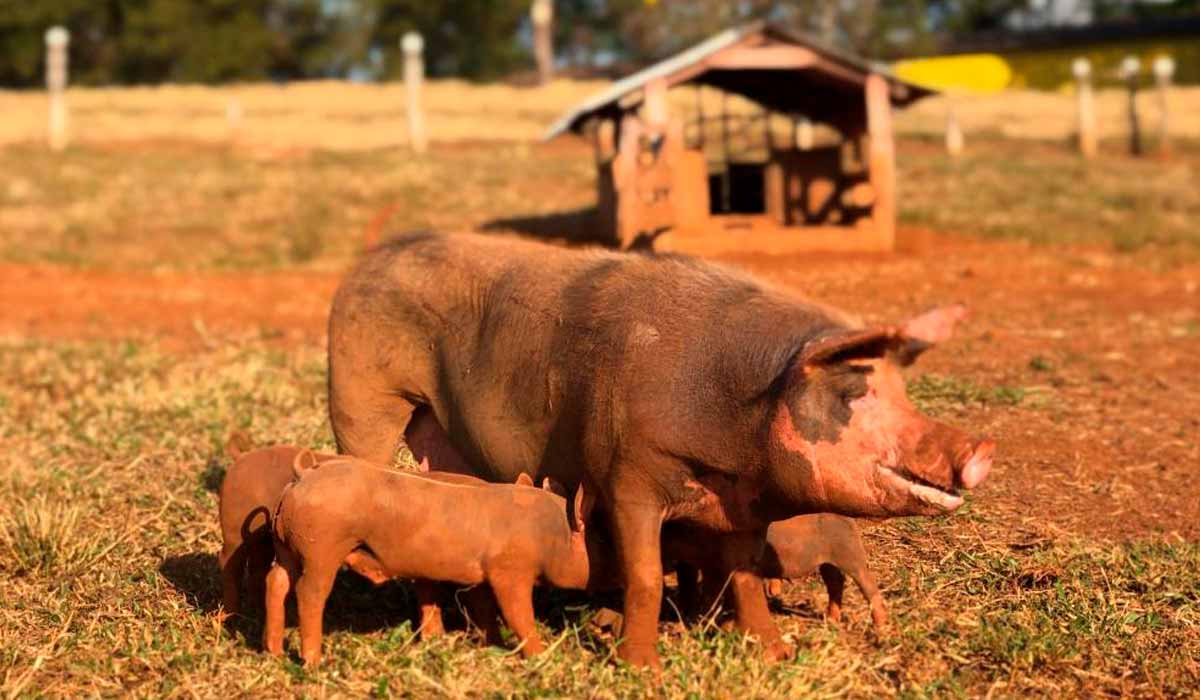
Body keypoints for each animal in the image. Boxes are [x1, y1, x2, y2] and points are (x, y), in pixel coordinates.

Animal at [328, 232, 993, 672]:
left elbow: (746, 576)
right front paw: (639, 668)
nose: (981, 445)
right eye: (854, 391)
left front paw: (777, 653)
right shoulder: (626, 474)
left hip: (440, 438)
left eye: (903, 392)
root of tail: (365, 264)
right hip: (361, 395)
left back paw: (444, 638)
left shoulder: (737, 507)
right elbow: (645, 575)